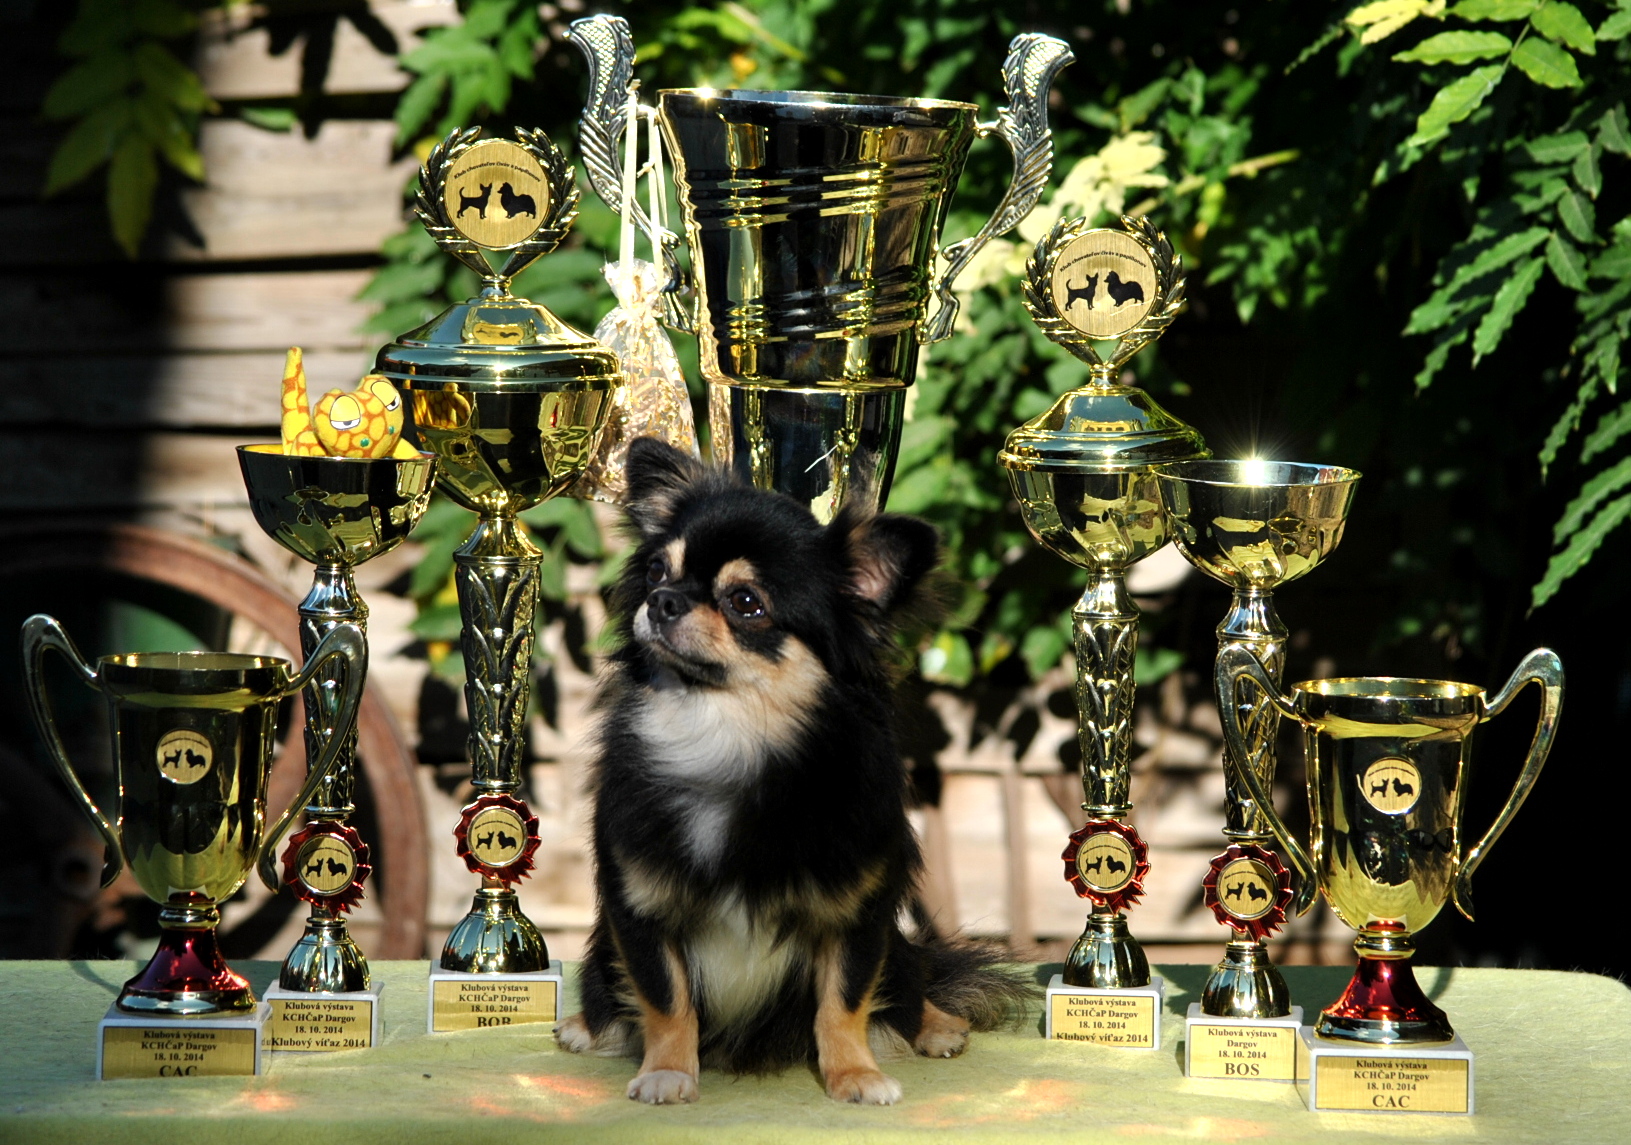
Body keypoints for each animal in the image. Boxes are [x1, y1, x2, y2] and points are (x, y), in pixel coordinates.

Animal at [557, 437, 1017, 1102]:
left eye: (746, 603)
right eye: (656, 572)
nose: (662, 599)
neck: (726, 736)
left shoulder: (858, 911)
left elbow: (843, 1002)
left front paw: (853, 1074)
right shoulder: (639, 906)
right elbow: (667, 999)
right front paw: (669, 1071)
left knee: (909, 976)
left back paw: (936, 1024)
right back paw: (586, 1024)